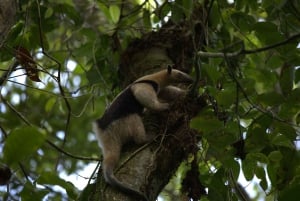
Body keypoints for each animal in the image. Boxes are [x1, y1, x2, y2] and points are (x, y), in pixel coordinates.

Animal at [94, 65, 192, 200]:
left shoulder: (159, 88)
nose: (191, 80)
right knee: (136, 123)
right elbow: (145, 97)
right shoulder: (146, 86)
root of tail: (105, 134)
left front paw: (184, 93)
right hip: (124, 123)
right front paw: (166, 106)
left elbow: (169, 92)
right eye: (179, 74)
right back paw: (148, 137)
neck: (153, 78)